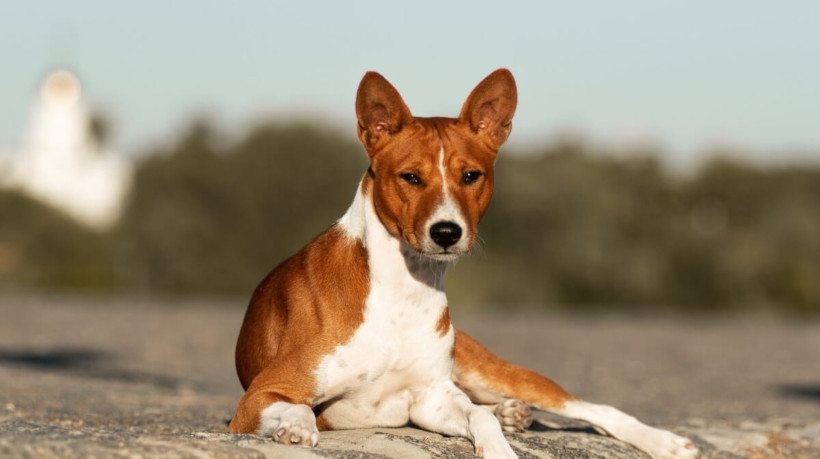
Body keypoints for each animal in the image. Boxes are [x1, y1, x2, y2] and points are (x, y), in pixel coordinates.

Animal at [229, 69, 700, 459]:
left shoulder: (431, 396)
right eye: (411, 177)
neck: (401, 292)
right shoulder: (261, 395)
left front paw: (500, 449)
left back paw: (663, 442)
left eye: (471, 176)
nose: (446, 232)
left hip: (493, 371)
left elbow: (480, 416)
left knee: (588, 407)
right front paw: (295, 429)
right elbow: (302, 411)